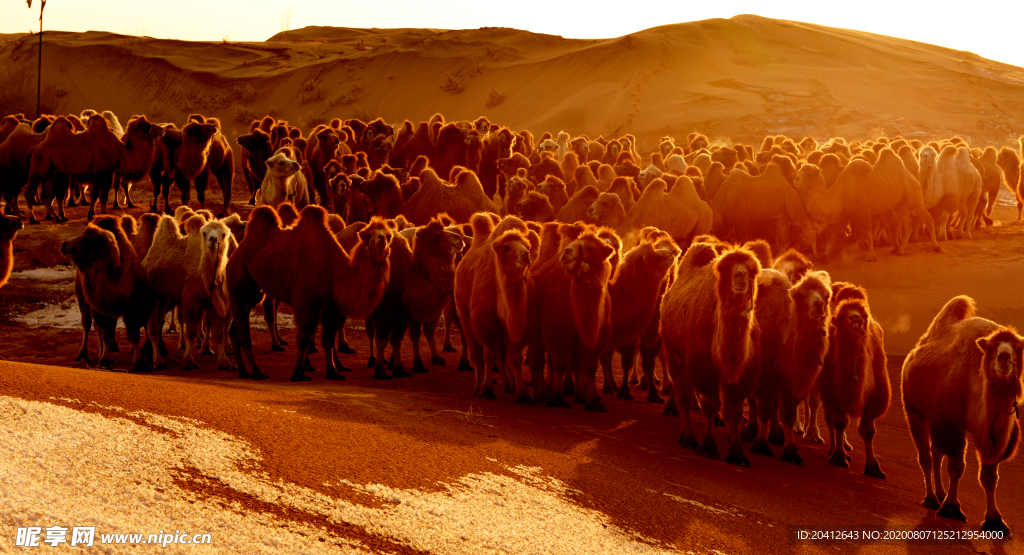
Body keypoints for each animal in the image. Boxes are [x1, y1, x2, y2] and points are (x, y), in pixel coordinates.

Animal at [60, 217, 151, 374]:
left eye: (86, 241)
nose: (64, 244)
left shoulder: (133, 306)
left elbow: (133, 334)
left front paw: (139, 363)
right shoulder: (103, 307)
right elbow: (107, 334)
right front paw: (104, 361)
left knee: (97, 327)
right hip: (82, 298)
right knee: (87, 324)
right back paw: (84, 354)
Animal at [228, 205, 391, 382]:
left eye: (389, 235)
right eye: (369, 234)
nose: (382, 239)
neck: (335, 269)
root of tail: (238, 247)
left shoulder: (331, 305)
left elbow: (328, 339)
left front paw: (332, 371)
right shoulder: (306, 301)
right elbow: (303, 338)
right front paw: (299, 372)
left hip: (253, 292)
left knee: (234, 331)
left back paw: (243, 371)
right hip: (239, 278)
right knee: (244, 334)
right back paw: (257, 372)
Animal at [454, 212, 540, 401]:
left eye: (527, 245)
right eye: (506, 248)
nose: (525, 254)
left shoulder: (520, 325)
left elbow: (513, 357)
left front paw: (522, 392)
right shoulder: (485, 321)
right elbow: (489, 354)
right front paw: (486, 389)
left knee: (502, 356)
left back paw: (509, 385)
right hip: (464, 315)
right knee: (476, 352)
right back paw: (477, 386)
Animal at [663, 245, 761, 466]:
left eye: (752, 271)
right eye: (725, 270)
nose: (740, 275)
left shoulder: (741, 373)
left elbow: (735, 411)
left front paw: (737, 453)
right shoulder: (704, 366)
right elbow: (710, 406)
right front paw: (708, 447)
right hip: (673, 352)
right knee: (683, 396)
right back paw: (688, 437)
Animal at [905, 299, 1015, 536]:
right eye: (990, 350)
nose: (1005, 358)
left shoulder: (992, 435)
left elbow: (990, 476)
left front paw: (995, 520)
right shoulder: (951, 425)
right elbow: (956, 467)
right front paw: (952, 508)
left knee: (936, 454)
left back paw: (939, 493)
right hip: (914, 409)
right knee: (926, 456)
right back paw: (931, 499)